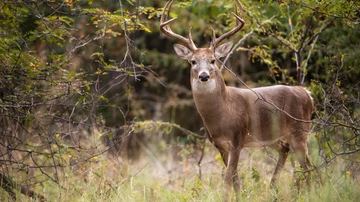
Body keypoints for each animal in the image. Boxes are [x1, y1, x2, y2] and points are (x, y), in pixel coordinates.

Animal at [160, 0, 312, 199]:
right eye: (193, 61)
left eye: (213, 60)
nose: (203, 76)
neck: (223, 113)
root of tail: (307, 93)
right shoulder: (220, 145)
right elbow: (235, 179)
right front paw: (240, 196)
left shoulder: (237, 139)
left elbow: (227, 179)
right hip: (273, 137)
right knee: (286, 151)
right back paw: (273, 188)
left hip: (300, 130)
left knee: (308, 165)